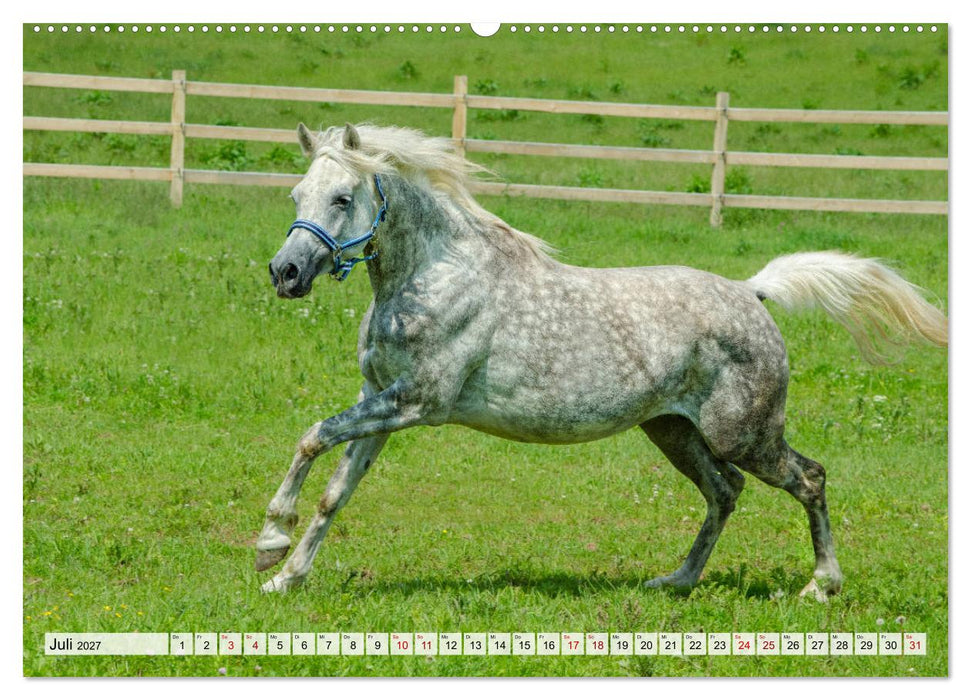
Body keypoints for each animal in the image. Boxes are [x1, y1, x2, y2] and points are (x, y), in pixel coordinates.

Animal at [259, 122, 947, 598]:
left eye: (342, 197)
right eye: (295, 194)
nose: (285, 273)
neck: (434, 275)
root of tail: (751, 292)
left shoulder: (416, 401)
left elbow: (311, 436)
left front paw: (270, 539)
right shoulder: (382, 402)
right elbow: (335, 492)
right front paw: (283, 575)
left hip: (744, 433)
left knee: (809, 479)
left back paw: (820, 586)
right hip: (673, 430)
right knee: (726, 491)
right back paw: (675, 582)